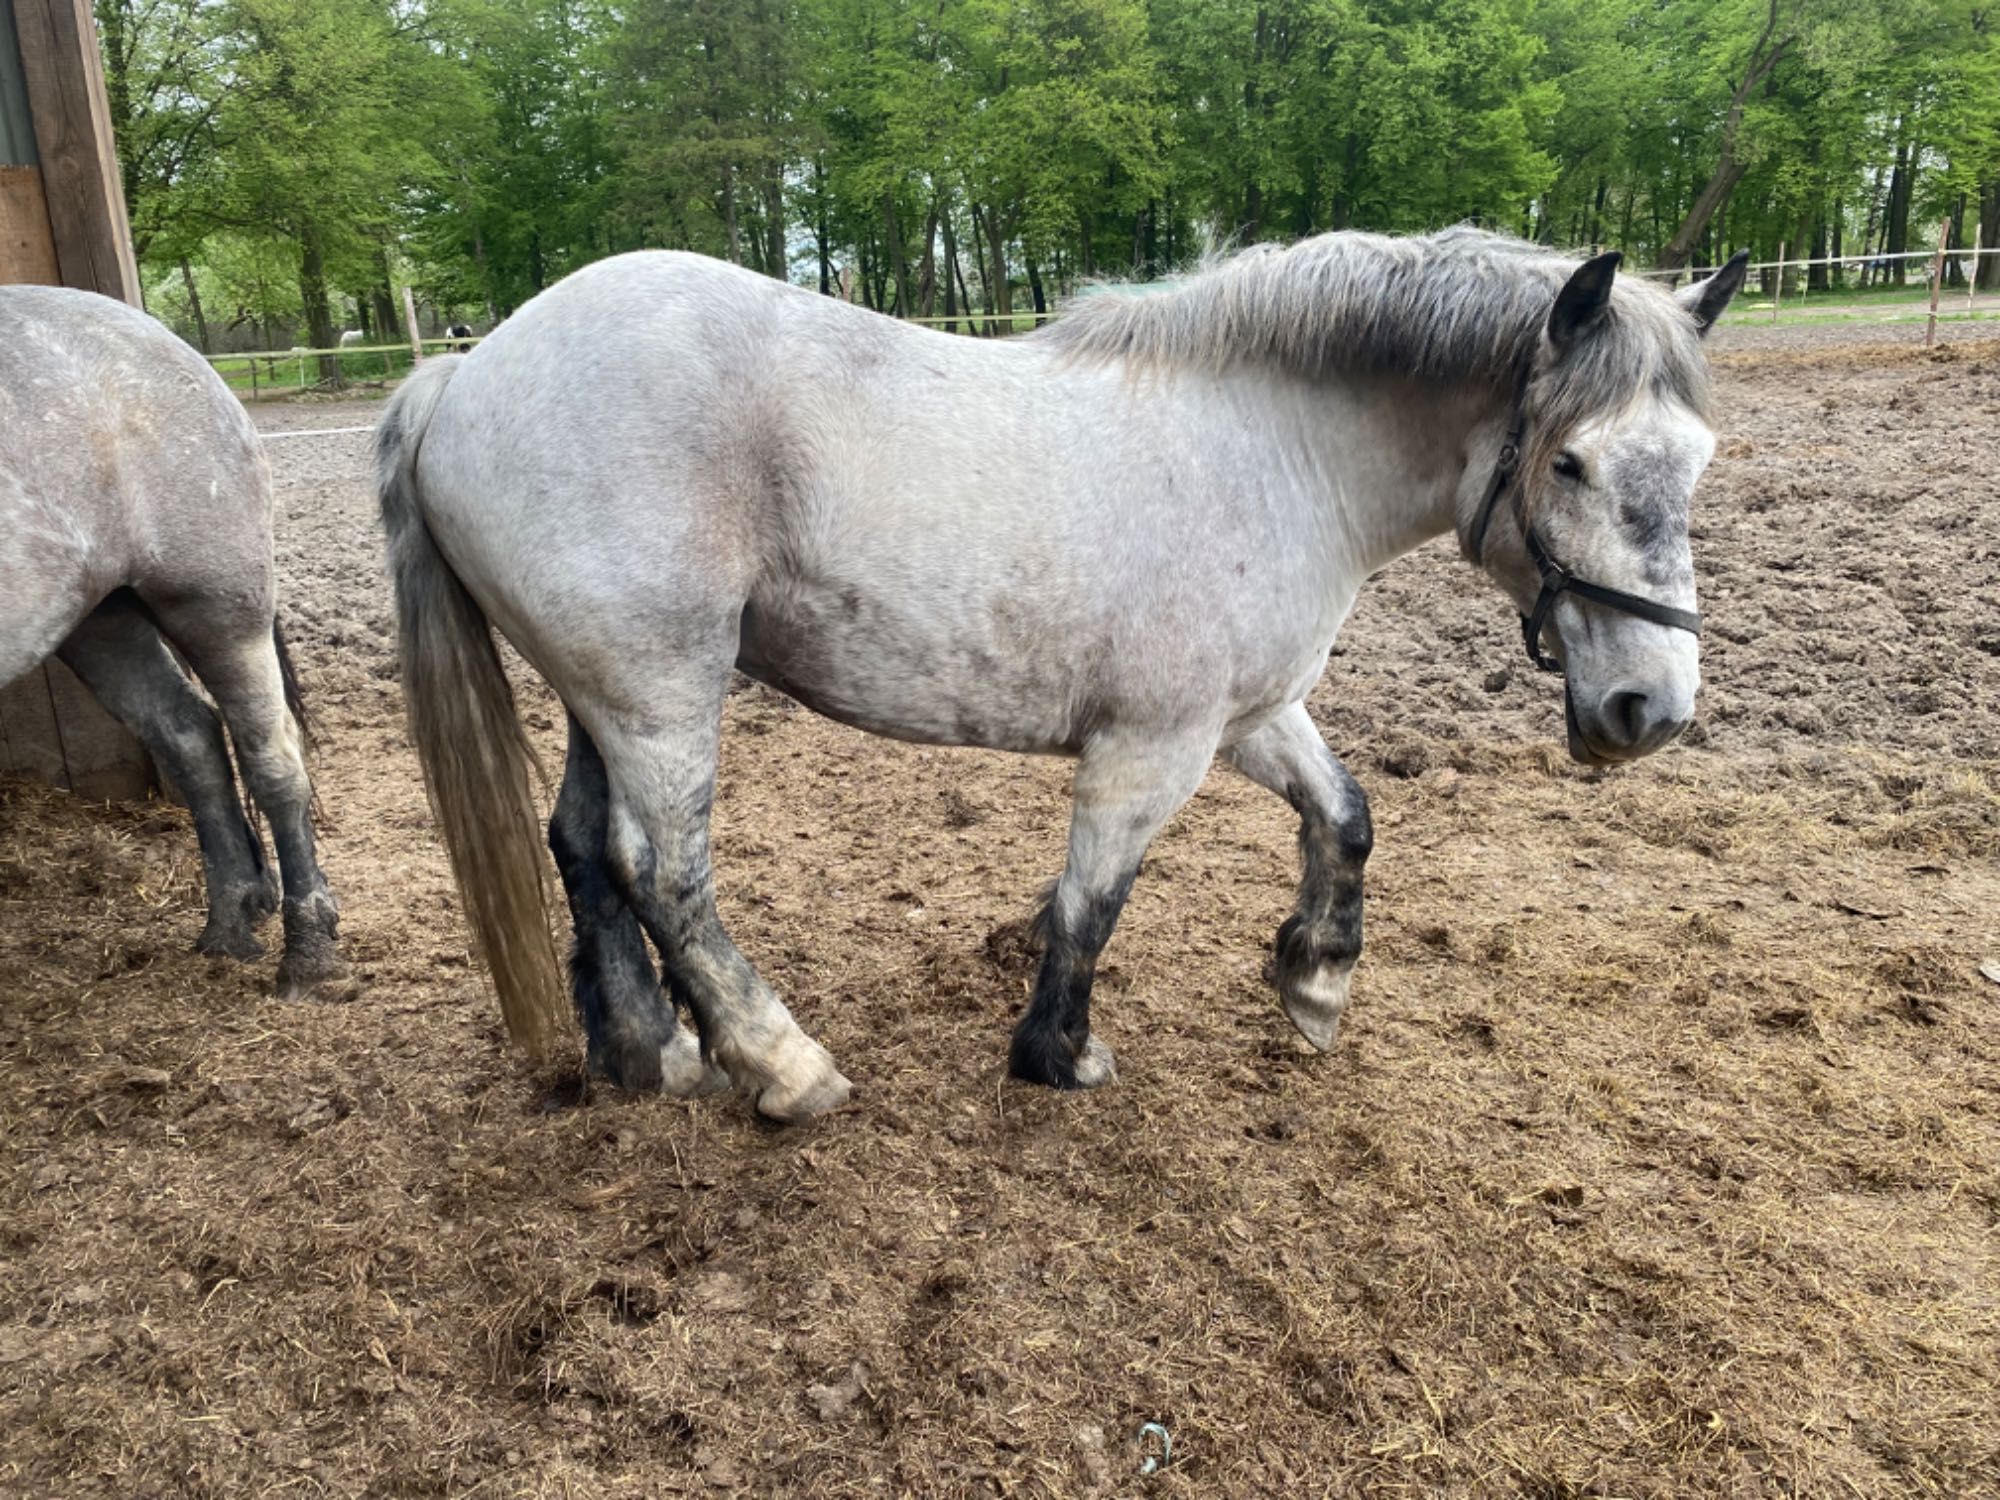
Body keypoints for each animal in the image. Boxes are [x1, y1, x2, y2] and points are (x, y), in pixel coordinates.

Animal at [0, 290, 340, 1000]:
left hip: (218, 609)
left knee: (272, 762)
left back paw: (309, 950)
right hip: (102, 618)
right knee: (189, 737)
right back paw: (230, 924)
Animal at [378, 229, 1752, 1120]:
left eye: (1696, 458)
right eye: (1570, 462)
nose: (1649, 709)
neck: (1273, 449)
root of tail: (470, 367)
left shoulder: (1249, 715)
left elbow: (1346, 814)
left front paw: (1314, 975)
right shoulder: (1153, 746)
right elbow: (1092, 899)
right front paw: (1056, 1051)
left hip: (602, 694)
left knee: (581, 847)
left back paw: (646, 1050)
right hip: (660, 692)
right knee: (662, 872)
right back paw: (781, 1066)